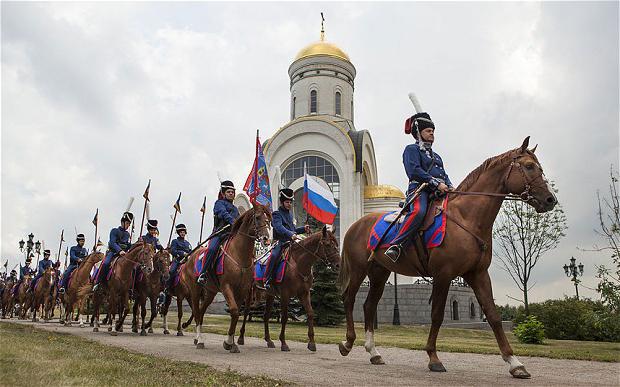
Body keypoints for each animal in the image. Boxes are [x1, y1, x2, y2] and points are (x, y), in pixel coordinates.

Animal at [184, 205, 272, 354]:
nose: (266, 238)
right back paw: (200, 340)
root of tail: (191, 258)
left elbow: (235, 314)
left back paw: (197, 338)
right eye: (257, 217)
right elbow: (235, 311)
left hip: (211, 292)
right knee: (196, 311)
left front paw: (231, 343)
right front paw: (228, 342)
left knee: (201, 311)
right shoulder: (227, 287)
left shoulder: (242, 290)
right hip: (195, 291)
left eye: (268, 219)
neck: (239, 254)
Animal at [237, 226, 342, 354]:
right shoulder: (285, 295)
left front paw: (312, 343)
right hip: (249, 292)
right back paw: (241, 338)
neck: (298, 264)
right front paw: (283, 343)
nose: (338, 265)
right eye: (327, 244)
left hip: (270, 295)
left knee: (266, 315)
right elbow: (285, 317)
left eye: (336, 244)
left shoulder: (304, 293)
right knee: (246, 312)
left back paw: (269, 340)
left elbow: (310, 313)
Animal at [340, 138, 556, 380]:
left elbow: (493, 315)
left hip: (379, 272)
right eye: (529, 166)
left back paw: (373, 352)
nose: (551, 200)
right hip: (359, 269)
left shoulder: (478, 274)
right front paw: (433, 358)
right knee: (349, 299)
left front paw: (515, 363)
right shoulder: (443, 275)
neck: (466, 218)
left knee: (369, 305)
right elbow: (436, 315)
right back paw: (347, 343)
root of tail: (355, 224)